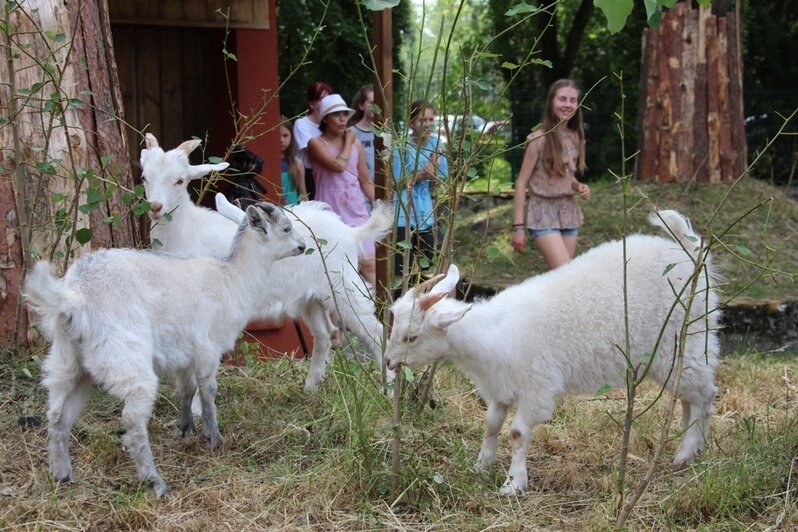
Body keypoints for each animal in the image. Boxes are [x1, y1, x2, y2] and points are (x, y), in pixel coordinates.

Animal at [24, 202, 306, 496]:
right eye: (286, 228)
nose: (303, 246)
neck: (231, 278)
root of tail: (74, 297)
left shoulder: (185, 355)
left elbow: (187, 390)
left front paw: (186, 429)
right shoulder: (208, 348)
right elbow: (208, 392)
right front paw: (214, 438)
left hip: (67, 362)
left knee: (57, 415)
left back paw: (62, 474)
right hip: (125, 357)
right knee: (132, 421)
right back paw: (155, 482)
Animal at [143, 133, 396, 390]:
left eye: (180, 180)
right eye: (144, 177)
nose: (155, 207)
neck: (188, 230)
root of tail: (350, 233)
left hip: (344, 287)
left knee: (375, 332)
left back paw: (388, 388)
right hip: (310, 297)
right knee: (324, 334)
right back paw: (310, 387)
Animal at [388, 211, 724, 494]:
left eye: (411, 337)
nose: (390, 362)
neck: (494, 332)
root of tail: (690, 254)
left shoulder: (536, 388)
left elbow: (518, 433)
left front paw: (513, 484)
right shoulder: (500, 387)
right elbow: (491, 424)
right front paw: (481, 466)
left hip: (687, 341)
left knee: (704, 395)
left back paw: (685, 453)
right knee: (688, 398)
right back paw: (689, 445)